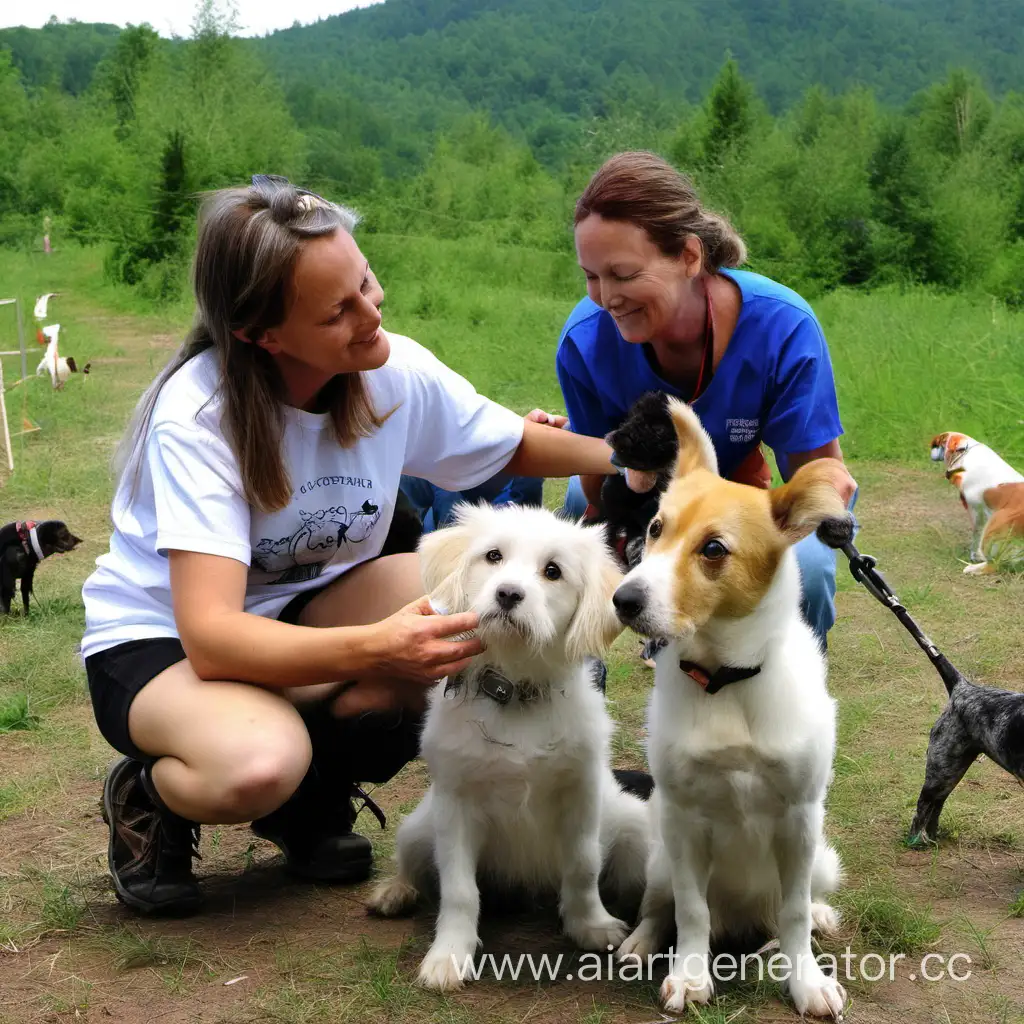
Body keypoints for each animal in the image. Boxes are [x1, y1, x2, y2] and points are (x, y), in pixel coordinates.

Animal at [366, 503, 647, 991]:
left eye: (553, 571)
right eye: (493, 556)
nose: (508, 594)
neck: (515, 692)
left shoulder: (582, 795)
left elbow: (583, 865)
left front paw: (590, 925)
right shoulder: (456, 806)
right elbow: (459, 889)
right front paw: (449, 955)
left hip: (634, 825)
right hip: (419, 827)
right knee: (413, 865)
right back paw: (394, 890)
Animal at [610, 397, 851, 1015]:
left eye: (714, 548)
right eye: (655, 528)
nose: (623, 600)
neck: (728, 680)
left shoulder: (800, 817)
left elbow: (793, 913)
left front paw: (806, 979)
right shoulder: (684, 819)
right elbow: (691, 911)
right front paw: (690, 974)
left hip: (824, 859)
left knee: (794, 909)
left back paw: (810, 922)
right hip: (659, 857)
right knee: (661, 906)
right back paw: (643, 941)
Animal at [929, 432, 1024, 577]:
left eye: (936, 444)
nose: (931, 450)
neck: (965, 451)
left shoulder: (976, 509)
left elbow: (976, 531)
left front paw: (975, 555)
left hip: (997, 524)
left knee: (994, 563)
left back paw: (975, 568)